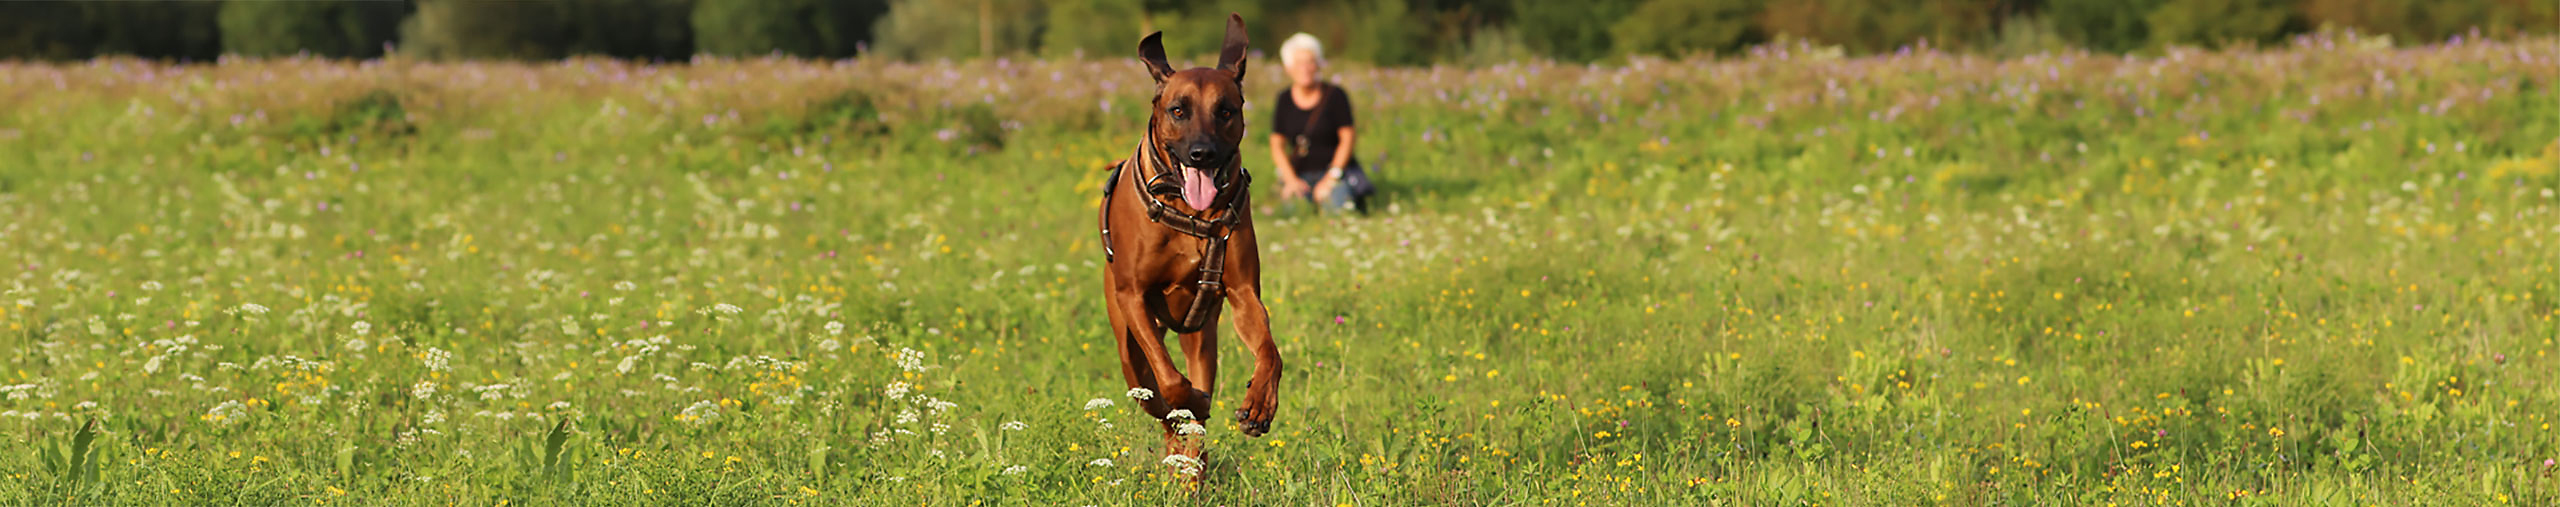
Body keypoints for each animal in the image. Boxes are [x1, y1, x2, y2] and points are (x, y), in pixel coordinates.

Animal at [1090, 13, 1280, 460]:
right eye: (1178, 110)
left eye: (1225, 110)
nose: (1202, 153)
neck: (1189, 211)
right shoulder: (1133, 296)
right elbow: (1172, 384)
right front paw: (1190, 400)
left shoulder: (1244, 294)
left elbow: (1270, 352)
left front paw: (1259, 404)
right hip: (1128, 345)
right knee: (1155, 397)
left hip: (1202, 337)